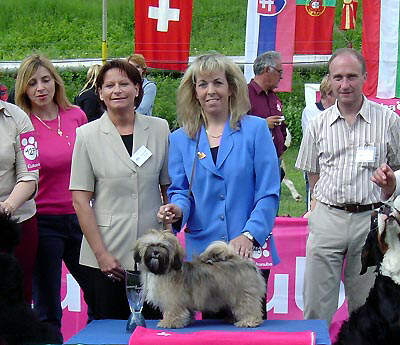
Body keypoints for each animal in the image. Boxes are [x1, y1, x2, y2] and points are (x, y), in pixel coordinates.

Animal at [134, 228, 266, 328]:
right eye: (151, 245)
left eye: (163, 246)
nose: (155, 252)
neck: (165, 270)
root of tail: (245, 262)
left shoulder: (173, 300)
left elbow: (172, 311)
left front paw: (169, 322)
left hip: (243, 295)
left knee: (249, 307)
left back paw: (248, 321)